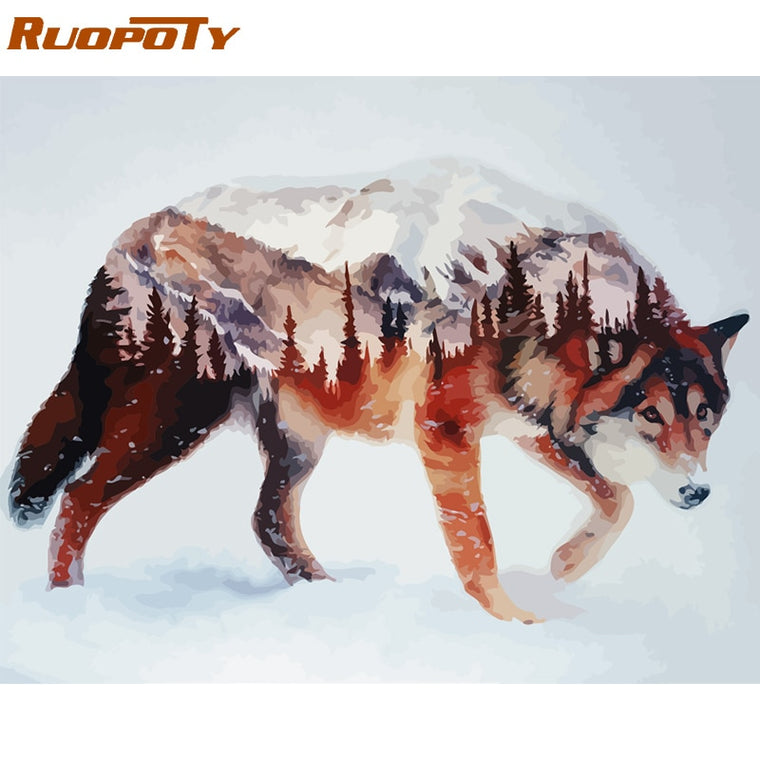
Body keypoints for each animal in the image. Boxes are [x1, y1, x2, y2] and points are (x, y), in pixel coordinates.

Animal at [8, 159, 748, 624]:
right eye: (649, 413)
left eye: (705, 417)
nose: (698, 493)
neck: (535, 295)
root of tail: (126, 238)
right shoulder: (446, 432)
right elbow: (477, 543)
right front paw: (517, 623)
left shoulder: (532, 425)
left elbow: (618, 497)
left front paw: (566, 566)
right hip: (173, 425)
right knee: (77, 499)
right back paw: (68, 606)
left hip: (295, 443)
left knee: (267, 521)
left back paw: (326, 601)